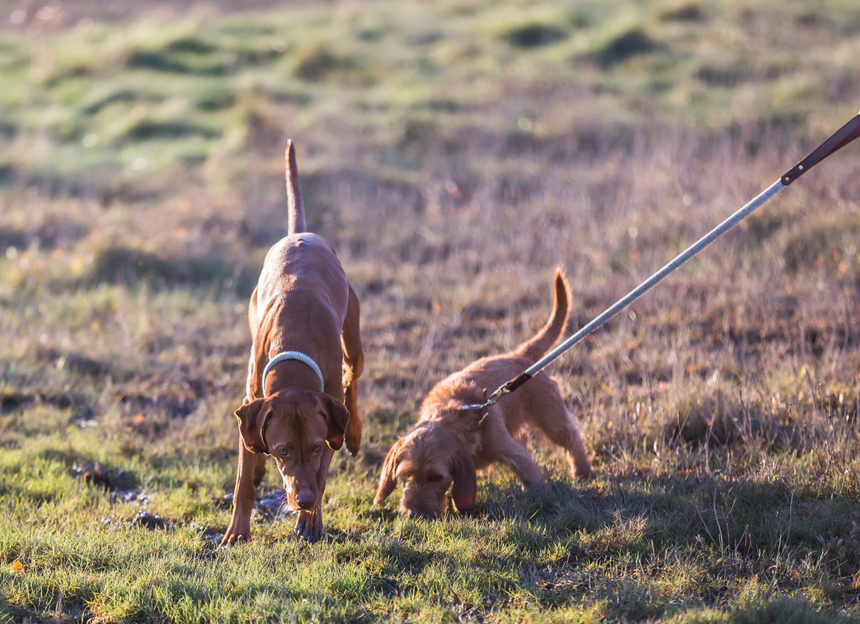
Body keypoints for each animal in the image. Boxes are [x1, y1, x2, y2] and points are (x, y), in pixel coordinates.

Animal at [222, 140, 362, 540]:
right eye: (283, 450)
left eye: (314, 447)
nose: (304, 500)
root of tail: (299, 233)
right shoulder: (251, 401)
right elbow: (243, 483)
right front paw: (237, 532)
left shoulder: (329, 417)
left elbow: (324, 471)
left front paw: (311, 520)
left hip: (354, 342)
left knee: (353, 379)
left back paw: (355, 432)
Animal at [376, 270, 592, 520]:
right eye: (406, 475)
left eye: (436, 477)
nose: (415, 513)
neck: (460, 416)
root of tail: (520, 355)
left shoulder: (510, 451)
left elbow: (531, 475)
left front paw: (544, 498)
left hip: (551, 419)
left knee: (572, 438)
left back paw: (583, 471)